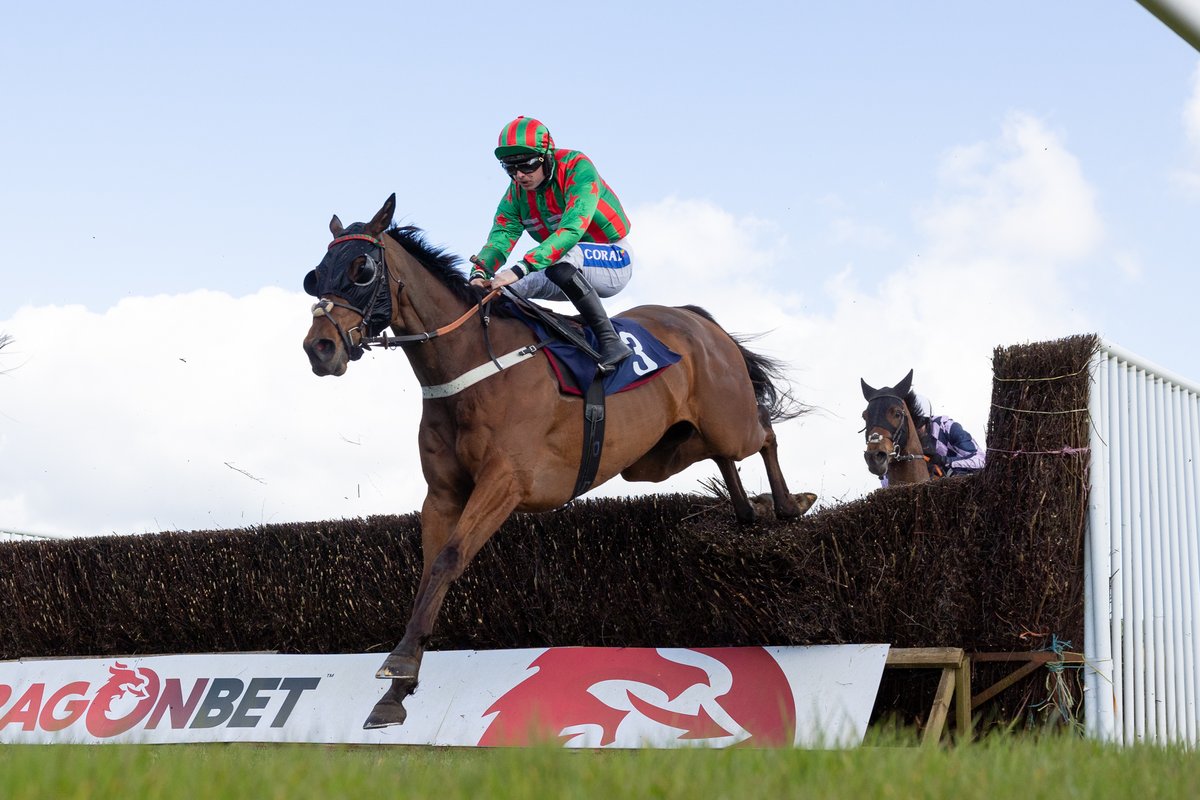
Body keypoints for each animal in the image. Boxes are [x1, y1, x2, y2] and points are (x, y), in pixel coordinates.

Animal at [302, 195, 806, 734]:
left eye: (361, 268)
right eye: (315, 275)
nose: (319, 348)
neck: (470, 368)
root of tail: (697, 319)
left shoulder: (506, 483)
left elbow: (448, 559)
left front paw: (397, 665)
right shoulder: (442, 494)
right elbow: (427, 573)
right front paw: (396, 692)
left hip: (726, 418)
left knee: (763, 433)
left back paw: (790, 504)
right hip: (654, 455)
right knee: (718, 453)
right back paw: (747, 512)